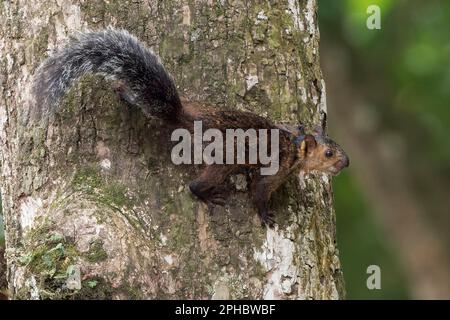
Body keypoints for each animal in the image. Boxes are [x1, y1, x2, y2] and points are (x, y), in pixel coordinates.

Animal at [32, 28, 348, 226]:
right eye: (329, 153)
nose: (346, 163)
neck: (294, 146)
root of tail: (185, 116)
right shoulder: (274, 171)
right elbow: (259, 193)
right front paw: (265, 216)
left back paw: (124, 92)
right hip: (222, 161)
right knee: (196, 184)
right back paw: (206, 194)